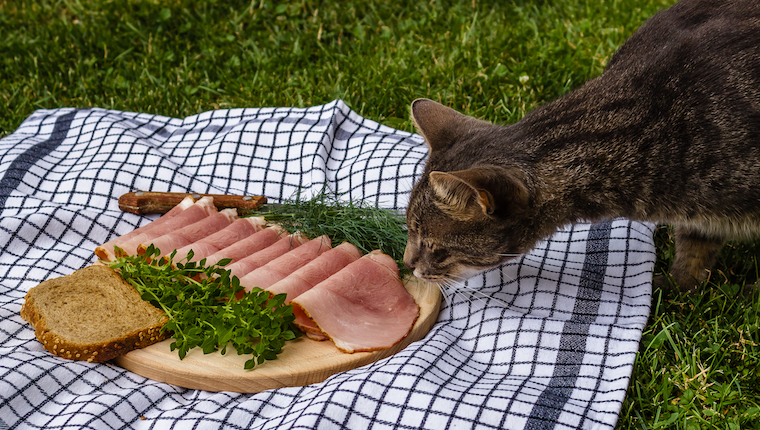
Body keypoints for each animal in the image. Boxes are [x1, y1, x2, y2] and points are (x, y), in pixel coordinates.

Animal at [406, 0, 760, 292]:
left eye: (435, 249)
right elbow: (694, 251)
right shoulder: (700, 221)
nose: (408, 263)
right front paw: (678, 286)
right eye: (410, 230)